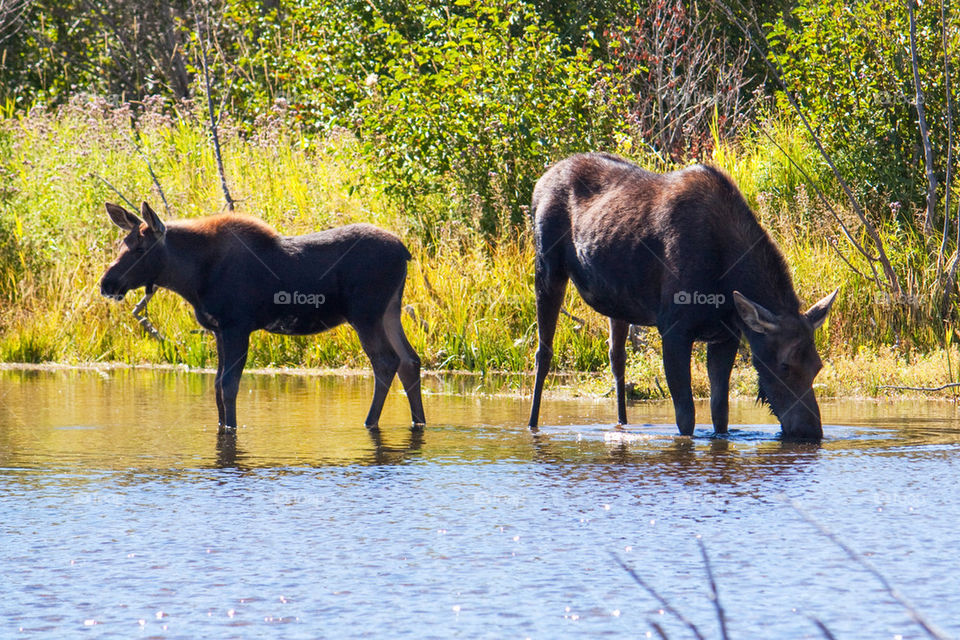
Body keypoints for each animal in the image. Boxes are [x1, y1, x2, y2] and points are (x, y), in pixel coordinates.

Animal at [100, 202, 424, 432]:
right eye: (120, 245)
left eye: (141, 248)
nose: (106, 283)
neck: (191, 279)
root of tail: (404, 251)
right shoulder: (218, 330)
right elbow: (216, 385)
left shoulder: (237, 326)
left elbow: (228, 386)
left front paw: (231, 429)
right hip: (390, 311)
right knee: (410, 359)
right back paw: (418, 420)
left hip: (366, 314)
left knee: (386, 361)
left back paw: (370, 422)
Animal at [528, 155, 836, 440]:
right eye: (785, 365)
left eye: (817, 366)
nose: (810, 430)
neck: (724, 283)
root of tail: (539, 183)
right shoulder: (674, 329)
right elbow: (686, 416)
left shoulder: (726, 336)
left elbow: (720, 412)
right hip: (548, 268)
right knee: (543, 352)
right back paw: (532, 425)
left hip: (617, 301)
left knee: (617, 357)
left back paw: (622, 424)